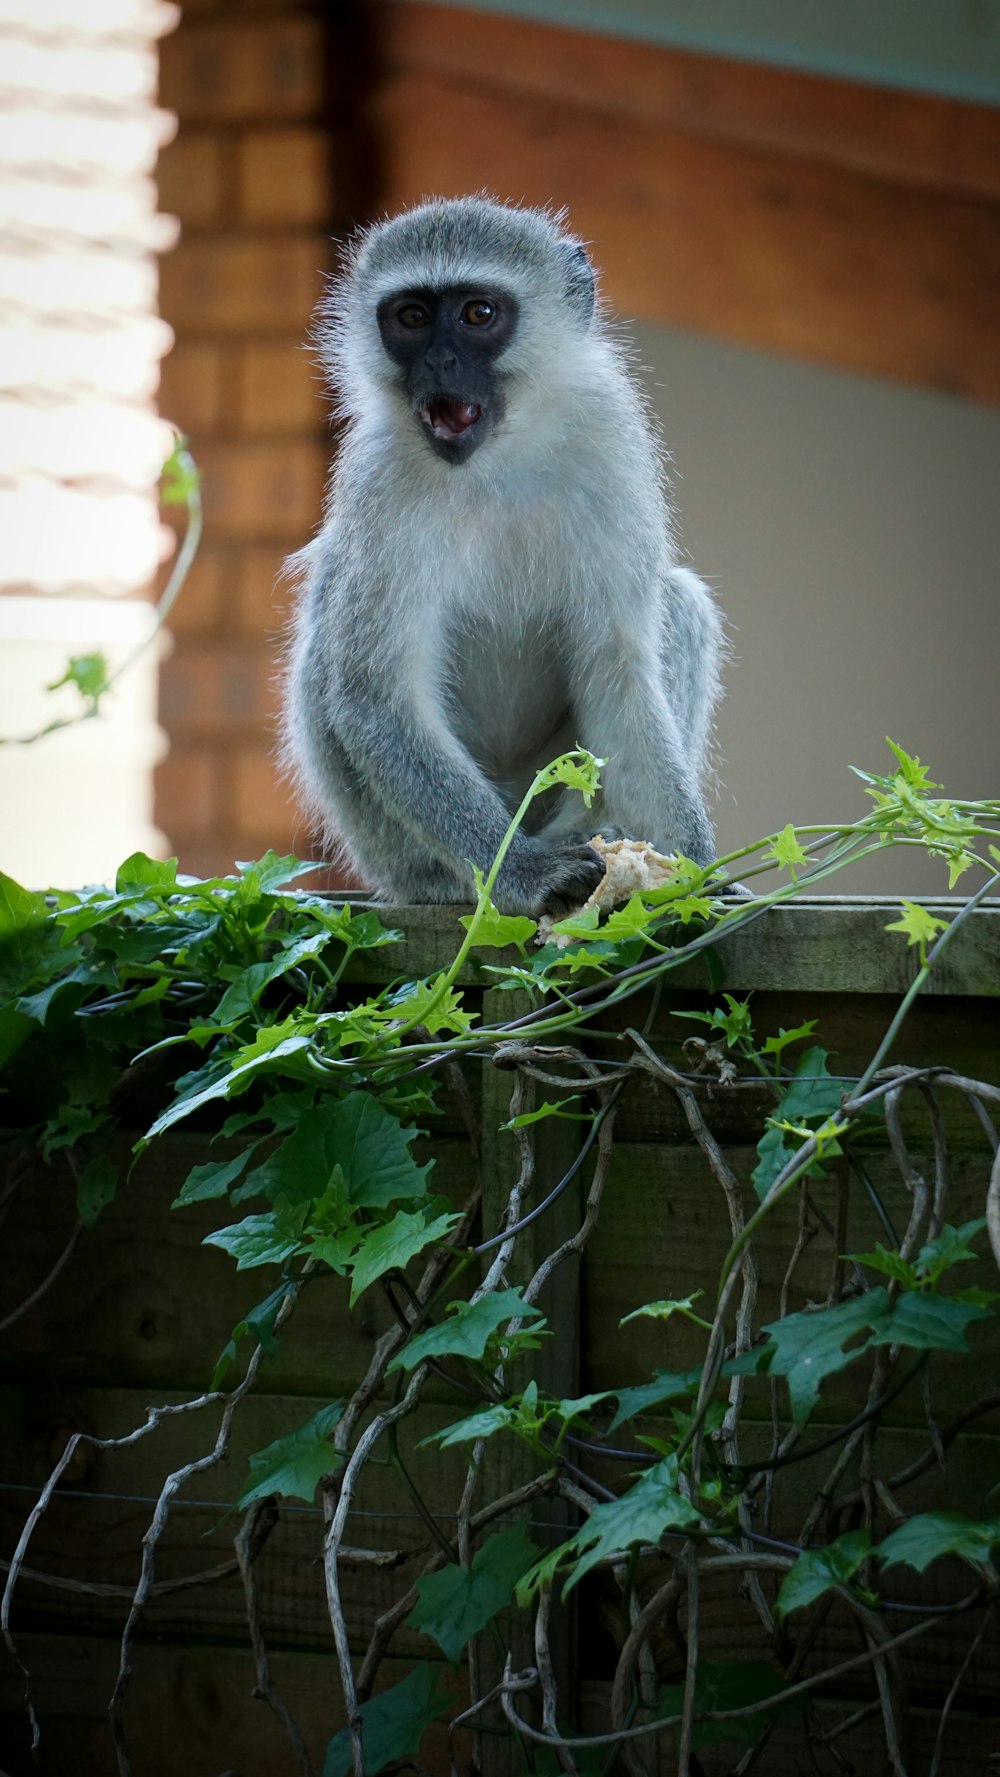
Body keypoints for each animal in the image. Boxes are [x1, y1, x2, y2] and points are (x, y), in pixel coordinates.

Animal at [285, 198, 724, 916]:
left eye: (477, 314)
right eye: (412, 317)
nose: (439, 363)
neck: (500, 457)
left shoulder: (609, 441)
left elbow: (618, 671)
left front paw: (698, 873)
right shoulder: (380, 480)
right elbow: (378, 695)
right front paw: (520, 870)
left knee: (679, 604)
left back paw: (600, 830)